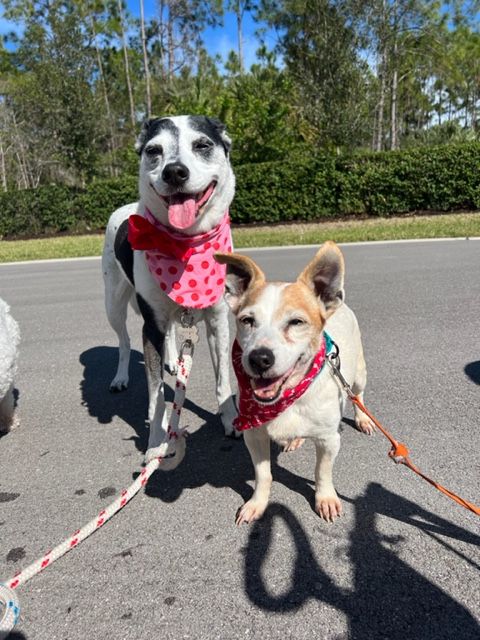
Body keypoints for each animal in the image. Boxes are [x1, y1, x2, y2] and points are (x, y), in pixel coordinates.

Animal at [102, 115, 237, 468]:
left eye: (203, 145)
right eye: (153, 150)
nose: (174, 171)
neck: (186, 245)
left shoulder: (218, 320)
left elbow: (223, 379)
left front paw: (231, 419)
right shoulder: (151, 327)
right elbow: (157, 394)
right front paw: (156, 442)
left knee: (173, 331)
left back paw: (175, 361)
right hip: (113, 302)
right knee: (124, 341)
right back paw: (120, 377)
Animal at [214, 244, 376, 524]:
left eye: (296, 322)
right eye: (247, 320)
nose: (259, 358)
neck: (289, 398)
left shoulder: (328, 440)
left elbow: (322, 472)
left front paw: (325, 499)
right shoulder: (253, 435)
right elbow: (263, 475)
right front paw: (257, 503)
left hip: (358, 375)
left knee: (358, 395)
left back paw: (363, 418)